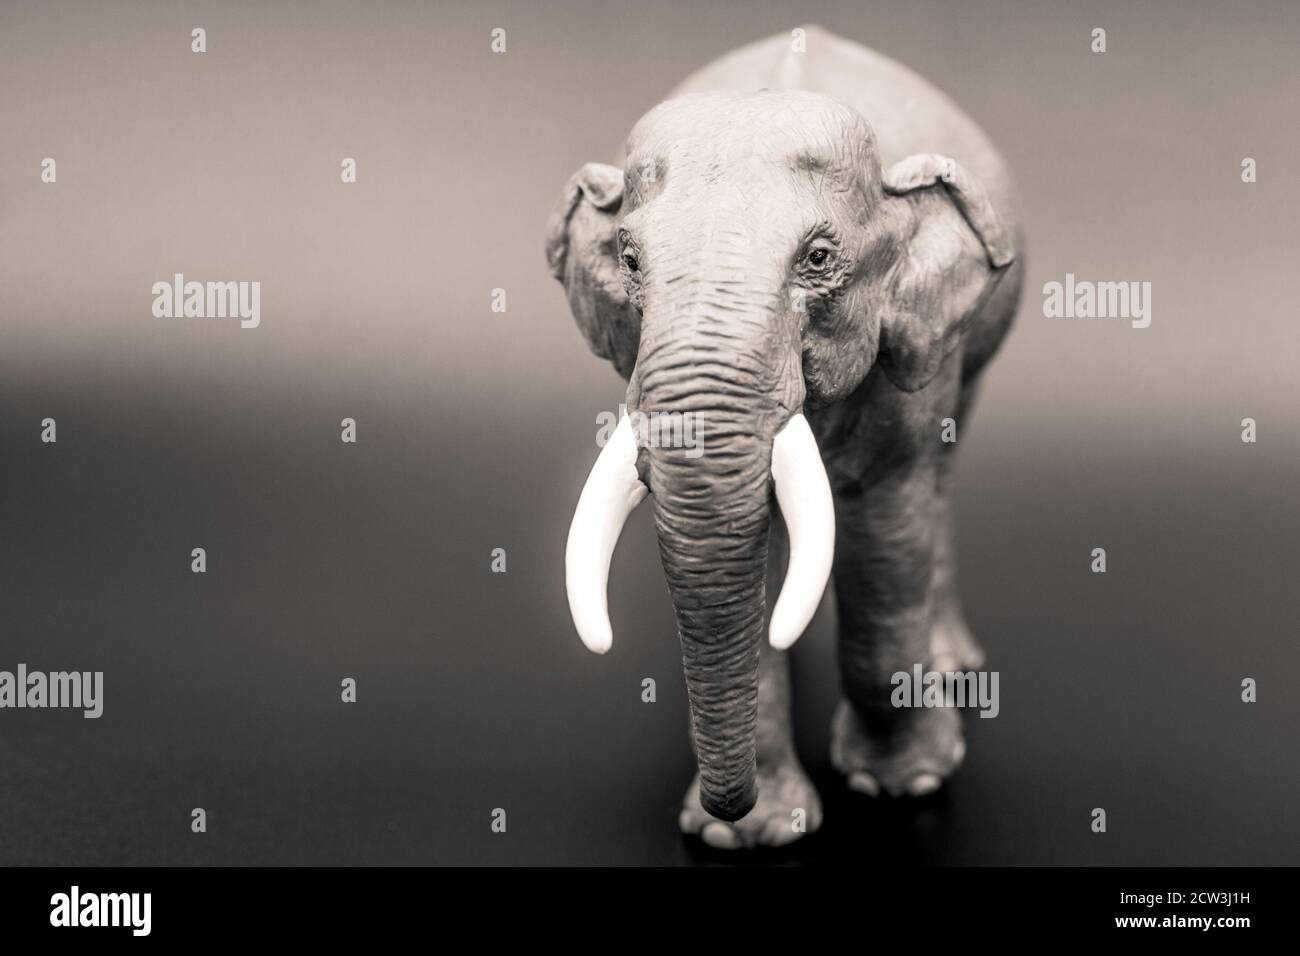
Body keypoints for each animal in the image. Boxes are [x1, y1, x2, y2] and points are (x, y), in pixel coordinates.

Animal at [545, 26, 1024, 849]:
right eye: (630, 261)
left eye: (819, 259)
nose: (724, 808)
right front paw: (748, 837)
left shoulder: (911, 360)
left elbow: (887, 527)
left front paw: (904, 782)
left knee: (938, 478)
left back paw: (951, 664)